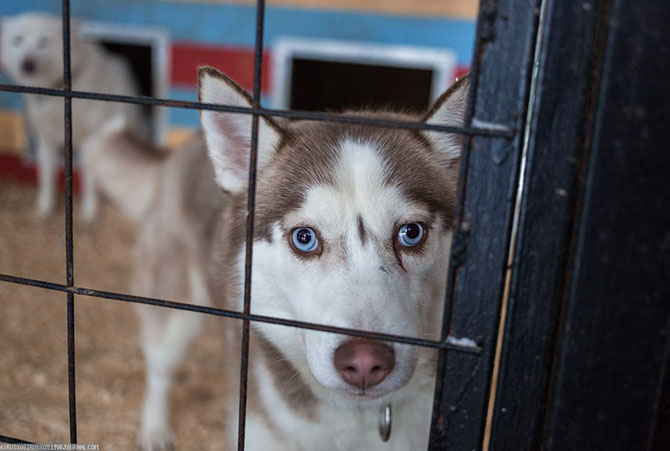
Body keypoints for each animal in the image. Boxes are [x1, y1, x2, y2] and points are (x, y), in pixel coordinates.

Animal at [0, 11, 147, 221]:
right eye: (17, 40)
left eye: (44, 41)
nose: (28, 63)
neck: (58, 90)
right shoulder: (46, 140)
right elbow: (46, 175)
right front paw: (44, 208)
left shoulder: (91, 139)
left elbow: (89, 178)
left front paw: (89, 211)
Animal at [135, 68, 470, 451]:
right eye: (305, 238)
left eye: (411, 233)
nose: (365, 362)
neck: (358, 420)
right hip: (172, 311)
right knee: (160, 370)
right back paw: (154, 429)